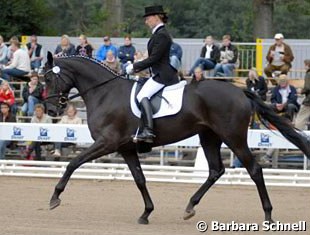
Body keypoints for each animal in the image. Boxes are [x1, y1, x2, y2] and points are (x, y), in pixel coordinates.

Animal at [43, 52, 310, 225]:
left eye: (48, 79)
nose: (51, 109)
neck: (104, 92)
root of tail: (240, 91)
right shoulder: (126, 147)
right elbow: (139, 179)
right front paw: (146, 213)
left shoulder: (107, 142)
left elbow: (73, 163)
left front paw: (55, 198)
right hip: (209, 136)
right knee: (215, 170)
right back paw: (190, 207)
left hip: (233, 137)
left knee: (254, 170)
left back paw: (268, 215)